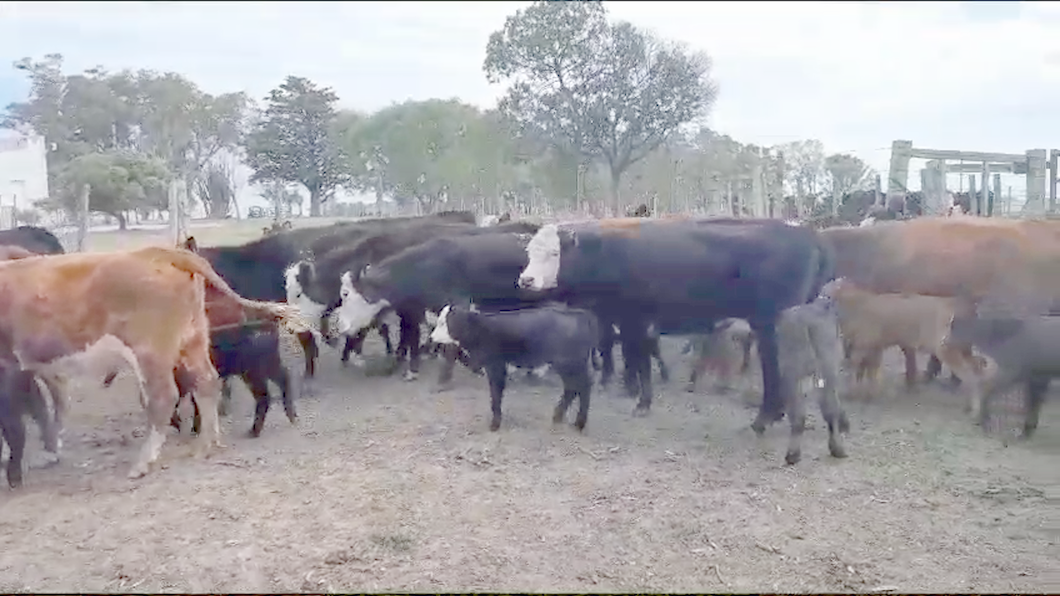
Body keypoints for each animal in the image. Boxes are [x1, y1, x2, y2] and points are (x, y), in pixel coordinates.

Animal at [428, 303, 597, 428]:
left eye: (443, 323)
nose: (431, 337)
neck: (480, 329)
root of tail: (578, 313)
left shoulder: (496, 365)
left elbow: (496, 393)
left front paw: (495, 423)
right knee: (572, 388)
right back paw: (558, 416)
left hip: (571, 363)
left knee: (584, 386)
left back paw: (579, 423)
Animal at [515, 218, 835, 430]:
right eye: (530, 252)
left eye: (554, 253)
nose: (526, 280)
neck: (607, 254)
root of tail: (804, 233)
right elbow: (639, 359)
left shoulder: (633, 318)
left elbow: (639, 360)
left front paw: (642, 403)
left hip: (771, 323)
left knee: (774, 366)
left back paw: (764, 418)